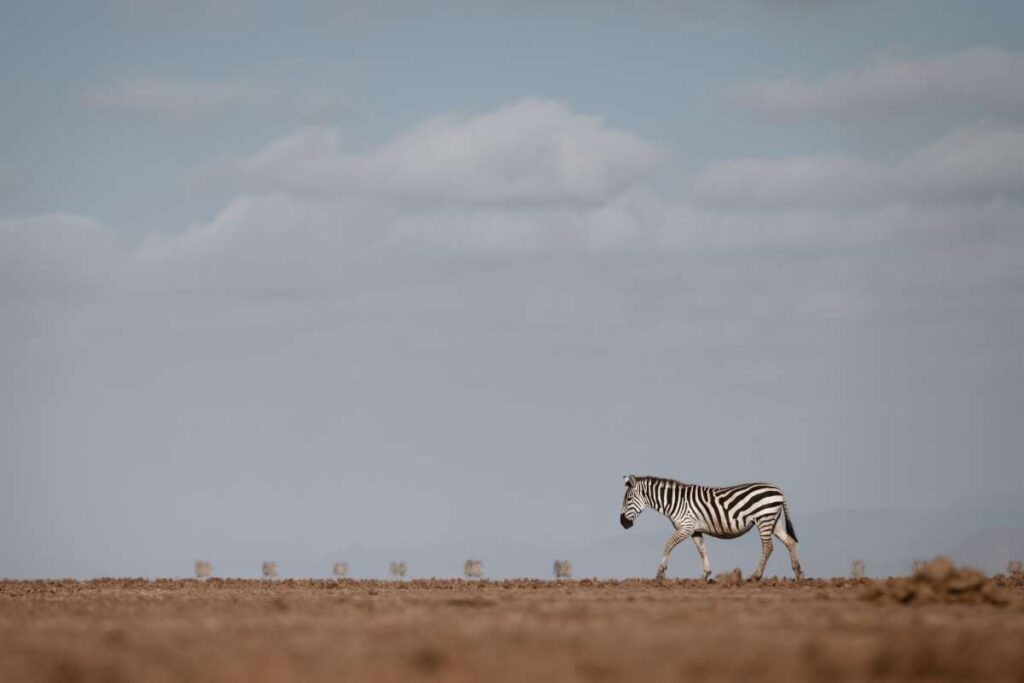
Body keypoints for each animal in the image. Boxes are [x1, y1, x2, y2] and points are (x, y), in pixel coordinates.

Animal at [619, 474, 804, 582]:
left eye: (628, 499)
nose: (623, 523)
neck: (674, 502)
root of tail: (778, 491)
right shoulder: (695, 530)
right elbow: (702, 550)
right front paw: (705, 575)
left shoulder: (686, 527)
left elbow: (668, 545)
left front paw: (660, 573)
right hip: (774, 521)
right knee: (789, 542)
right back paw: (798, 573)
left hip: (764, 518)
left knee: (768, 547)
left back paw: (756, 576)